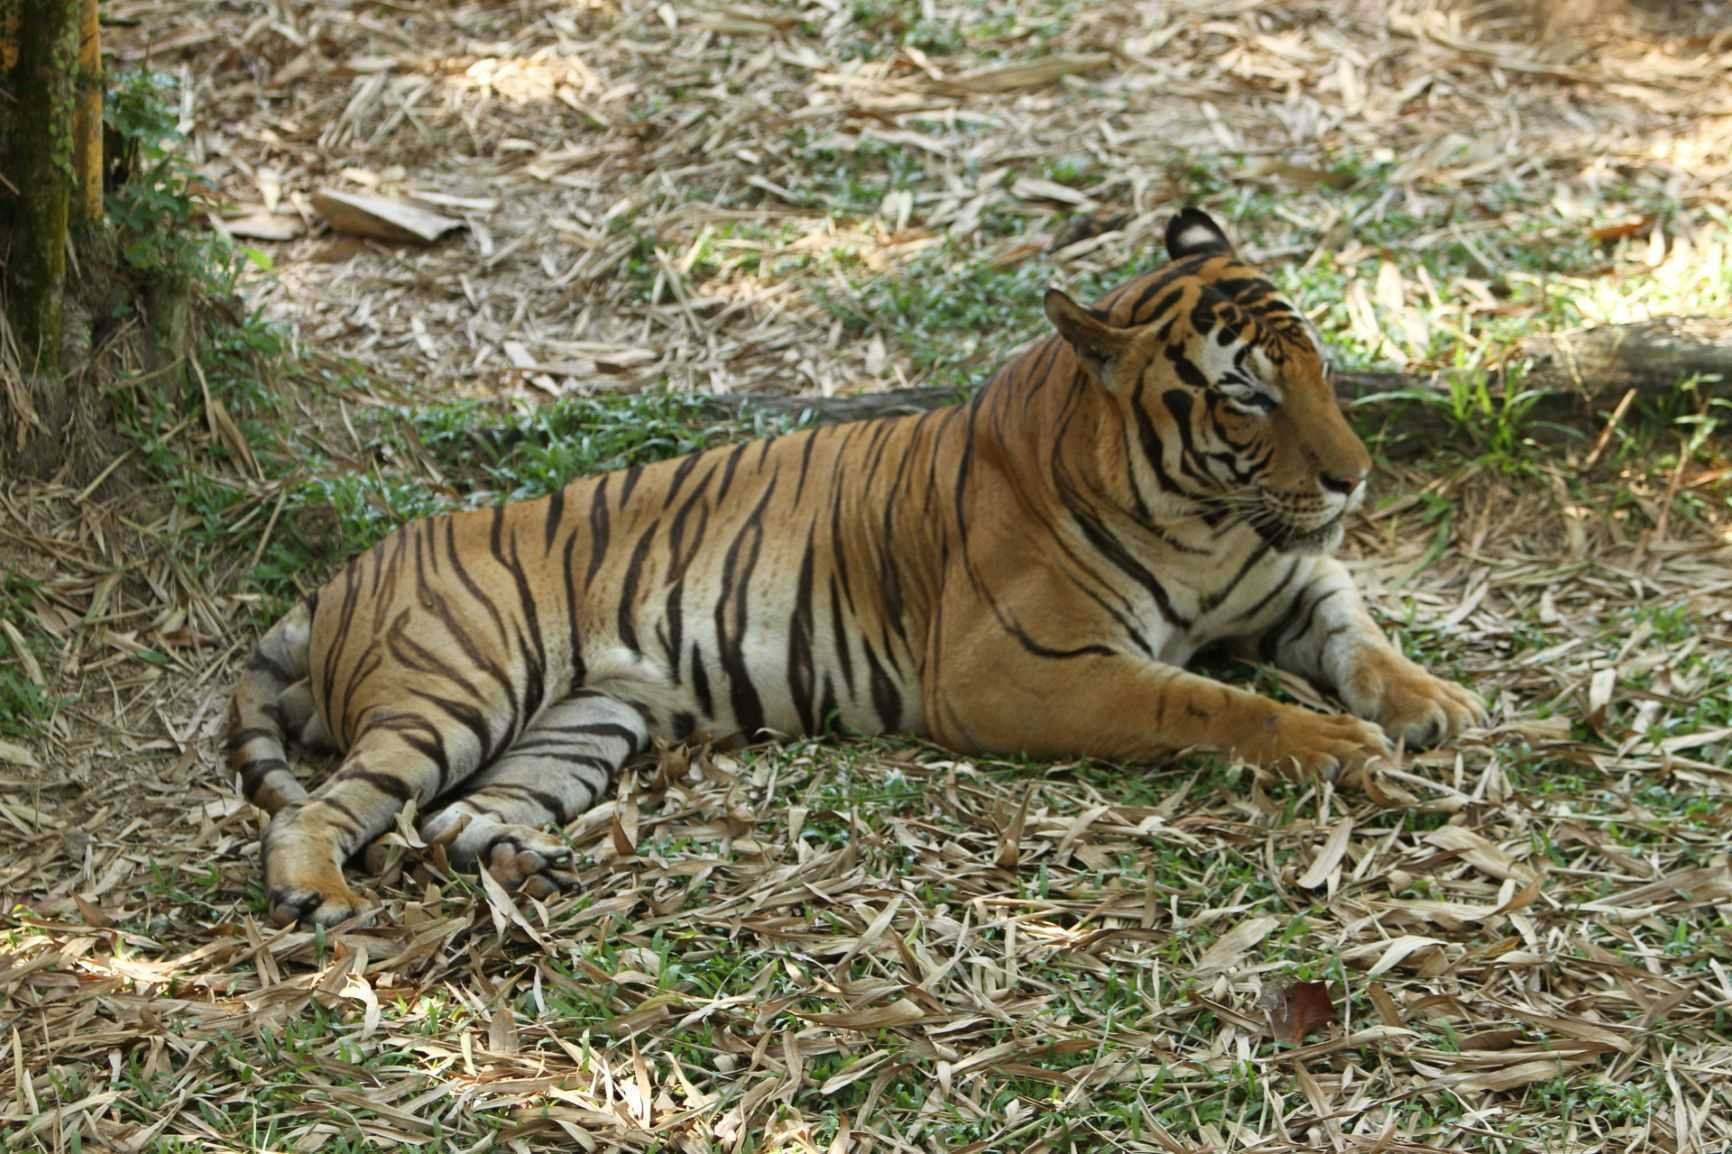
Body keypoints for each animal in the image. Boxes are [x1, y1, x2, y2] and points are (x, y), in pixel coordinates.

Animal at [223, 208, 1482, 928]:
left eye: (1319, 369)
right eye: (1245, 395)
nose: (1353, 478)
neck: (1206, 519)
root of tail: (333, 580)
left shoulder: (1286, 581)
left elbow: (1360, 631)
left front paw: (1438, 704)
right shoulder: (1016, 671)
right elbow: (1206, 700)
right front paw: (1337, 746)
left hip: (580, 723)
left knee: (452, 817)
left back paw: (530, 871)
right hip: (457, 690)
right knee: (335, 803)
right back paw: (315, 894)